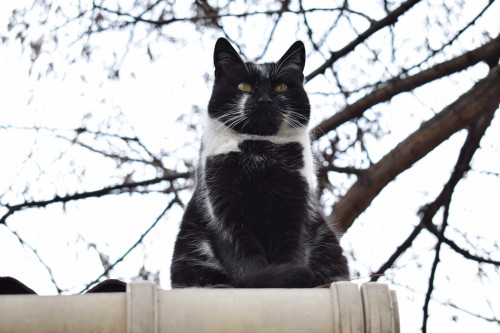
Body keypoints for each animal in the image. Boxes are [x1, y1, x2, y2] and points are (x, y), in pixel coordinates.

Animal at [170, 37, 350, 286]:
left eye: (281, 87)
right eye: (244, 86)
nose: (264, 100)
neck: (260, 149)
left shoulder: (295, 206)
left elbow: (291, 249)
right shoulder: (224, 207)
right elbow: (244, 257)